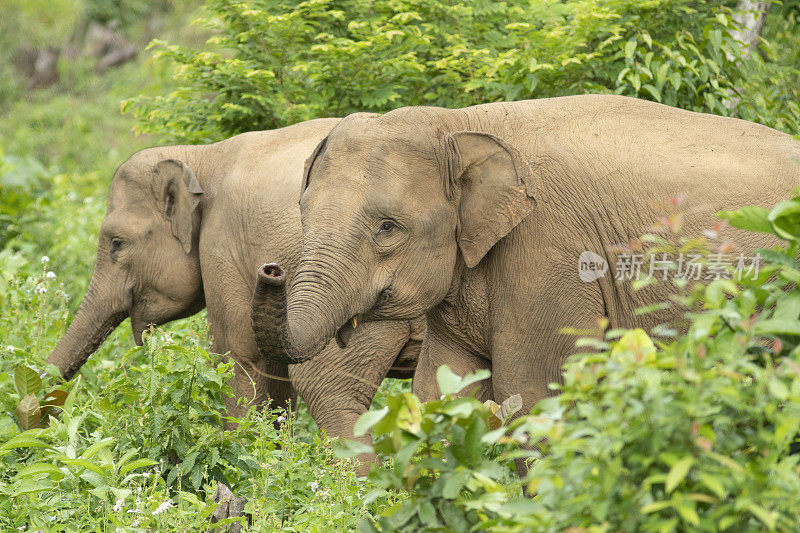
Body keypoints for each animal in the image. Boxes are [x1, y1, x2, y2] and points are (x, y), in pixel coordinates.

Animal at [45, 116, 424, 470]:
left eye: (116, 245)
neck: (202, 156)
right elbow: (275, 378)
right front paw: (271, 461)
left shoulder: (223, 247)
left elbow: (237, 356)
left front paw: (241, 464)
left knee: (329, 388)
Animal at [250, 93, 800, 422]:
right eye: (303, 215)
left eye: (387, 228)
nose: (270, 268)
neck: (460, 123)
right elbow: (442, 390)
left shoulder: (548, 253)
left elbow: (534, 393)